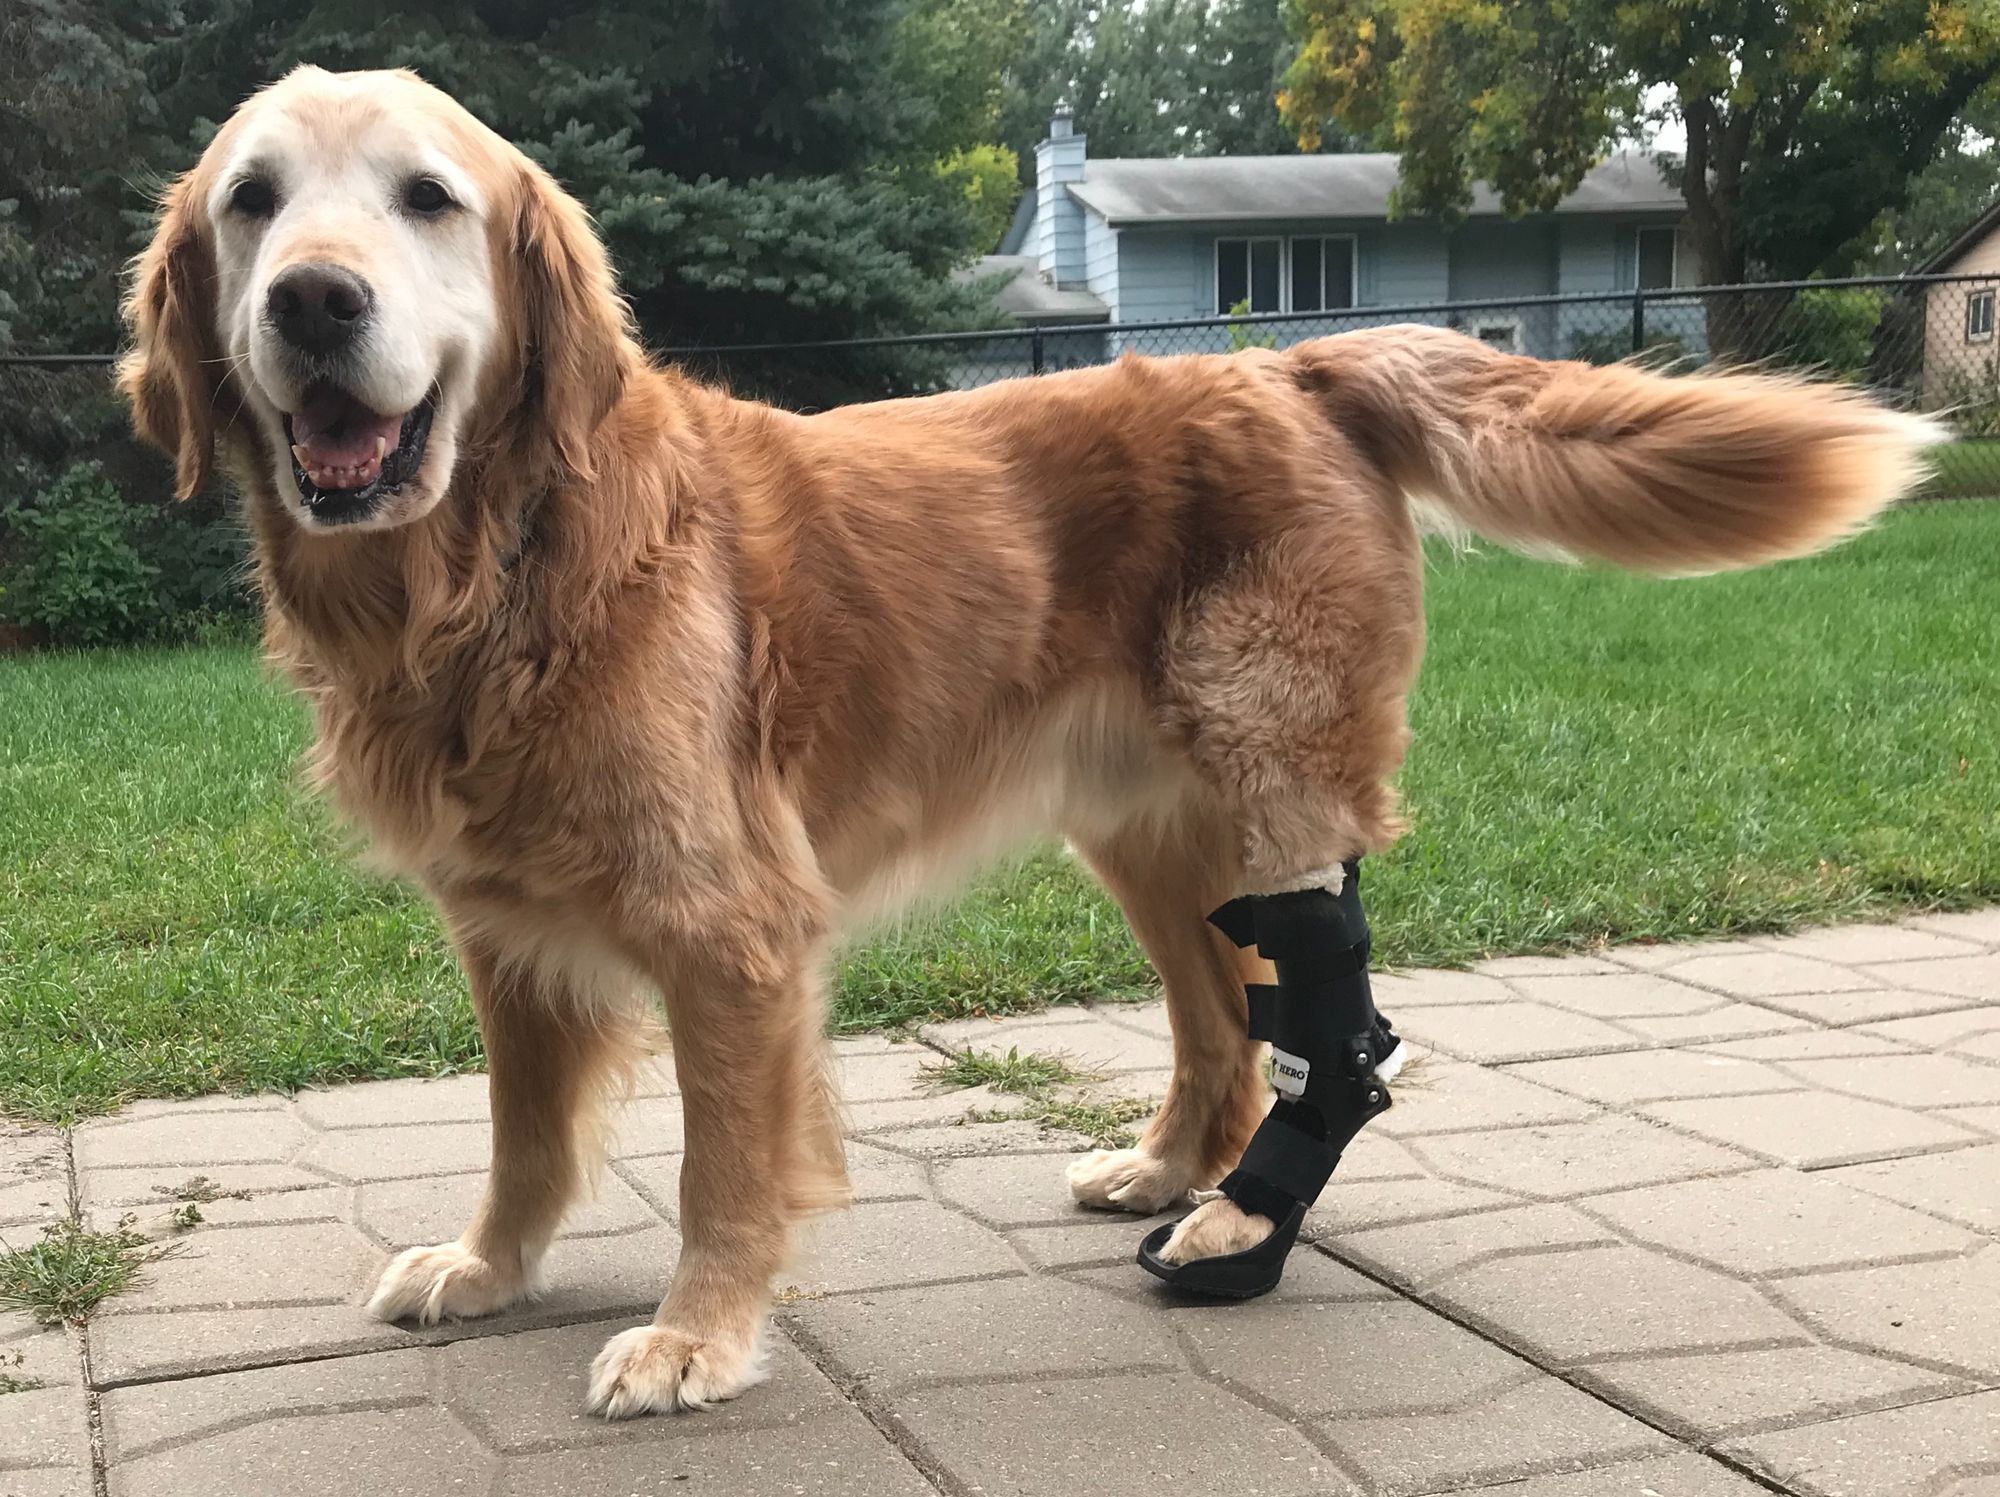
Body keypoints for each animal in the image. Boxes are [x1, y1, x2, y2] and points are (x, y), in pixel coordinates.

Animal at [121, 70, 1936, 1424]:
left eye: (426, 199)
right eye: (252, 201)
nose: (314, 301)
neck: (494, 573)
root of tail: (1298, 363)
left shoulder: (730, 930)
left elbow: (722, 1167)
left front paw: (699, 1332)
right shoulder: (505, 930)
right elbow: (519, 1130)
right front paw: (488, 1266)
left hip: (1273, 770)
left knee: (1328, 1027)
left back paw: (1237, 1214)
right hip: (1151, 830)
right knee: (1223, 1025)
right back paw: (1169, 1171)